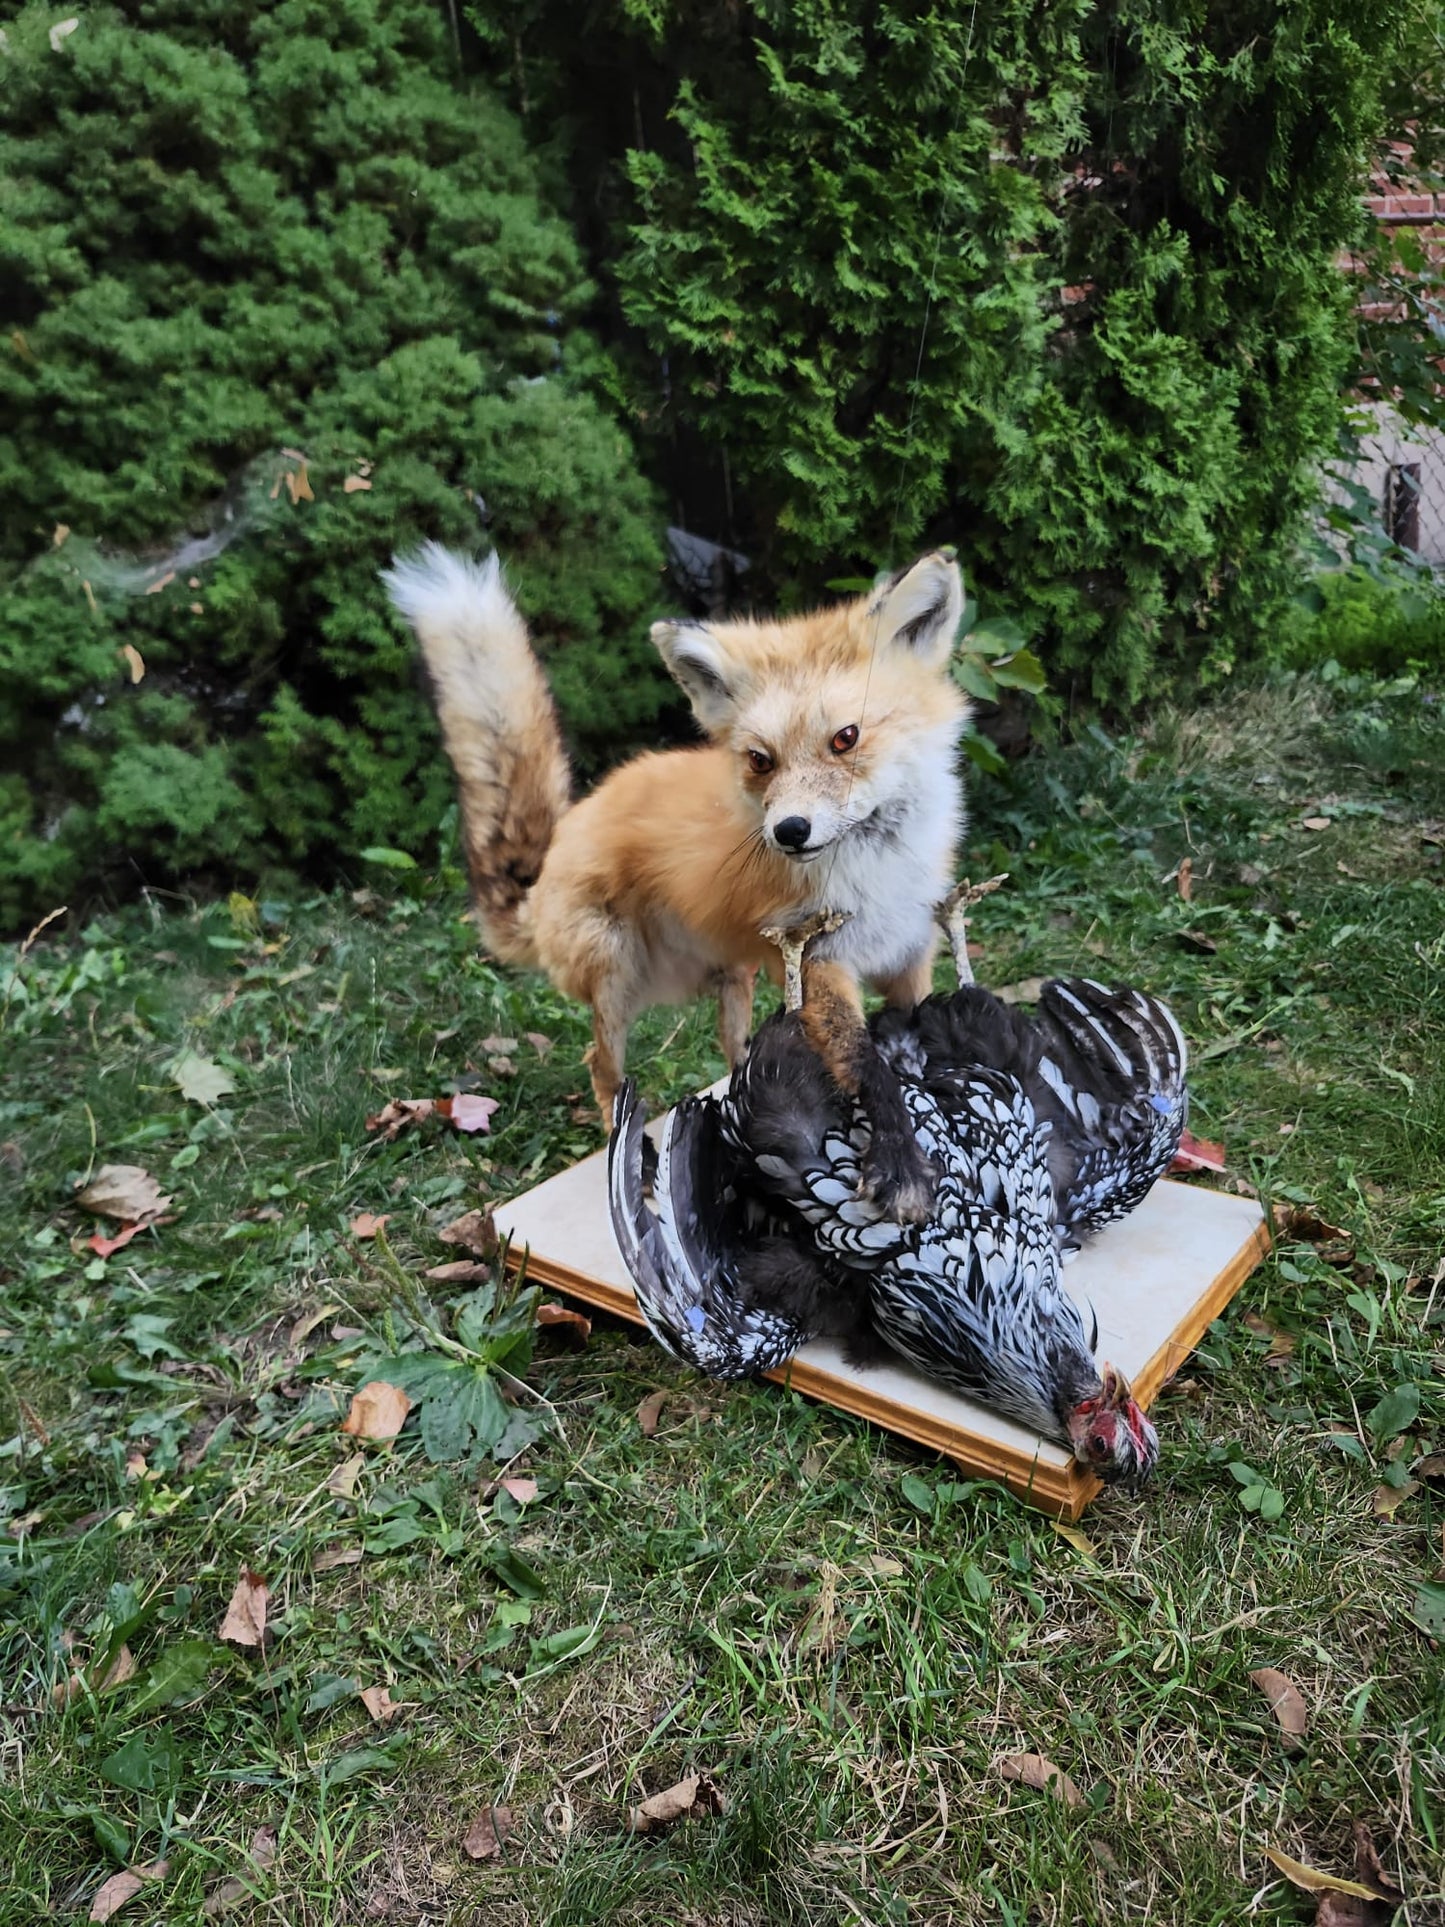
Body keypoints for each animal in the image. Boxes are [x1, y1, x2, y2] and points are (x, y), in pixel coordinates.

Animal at [382, 544, 970, 1218]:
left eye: (845, 738)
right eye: (760, 760)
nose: (789, 831)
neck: (878, 871)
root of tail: (557, 847)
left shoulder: (908, 952)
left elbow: (910, 1039)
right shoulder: (819, 961)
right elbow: (867, 1062)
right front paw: (903, 1166)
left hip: (735, 976)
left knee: (736, 1049)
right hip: (615, 973)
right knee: (602, 1067)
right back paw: (633, 1156)